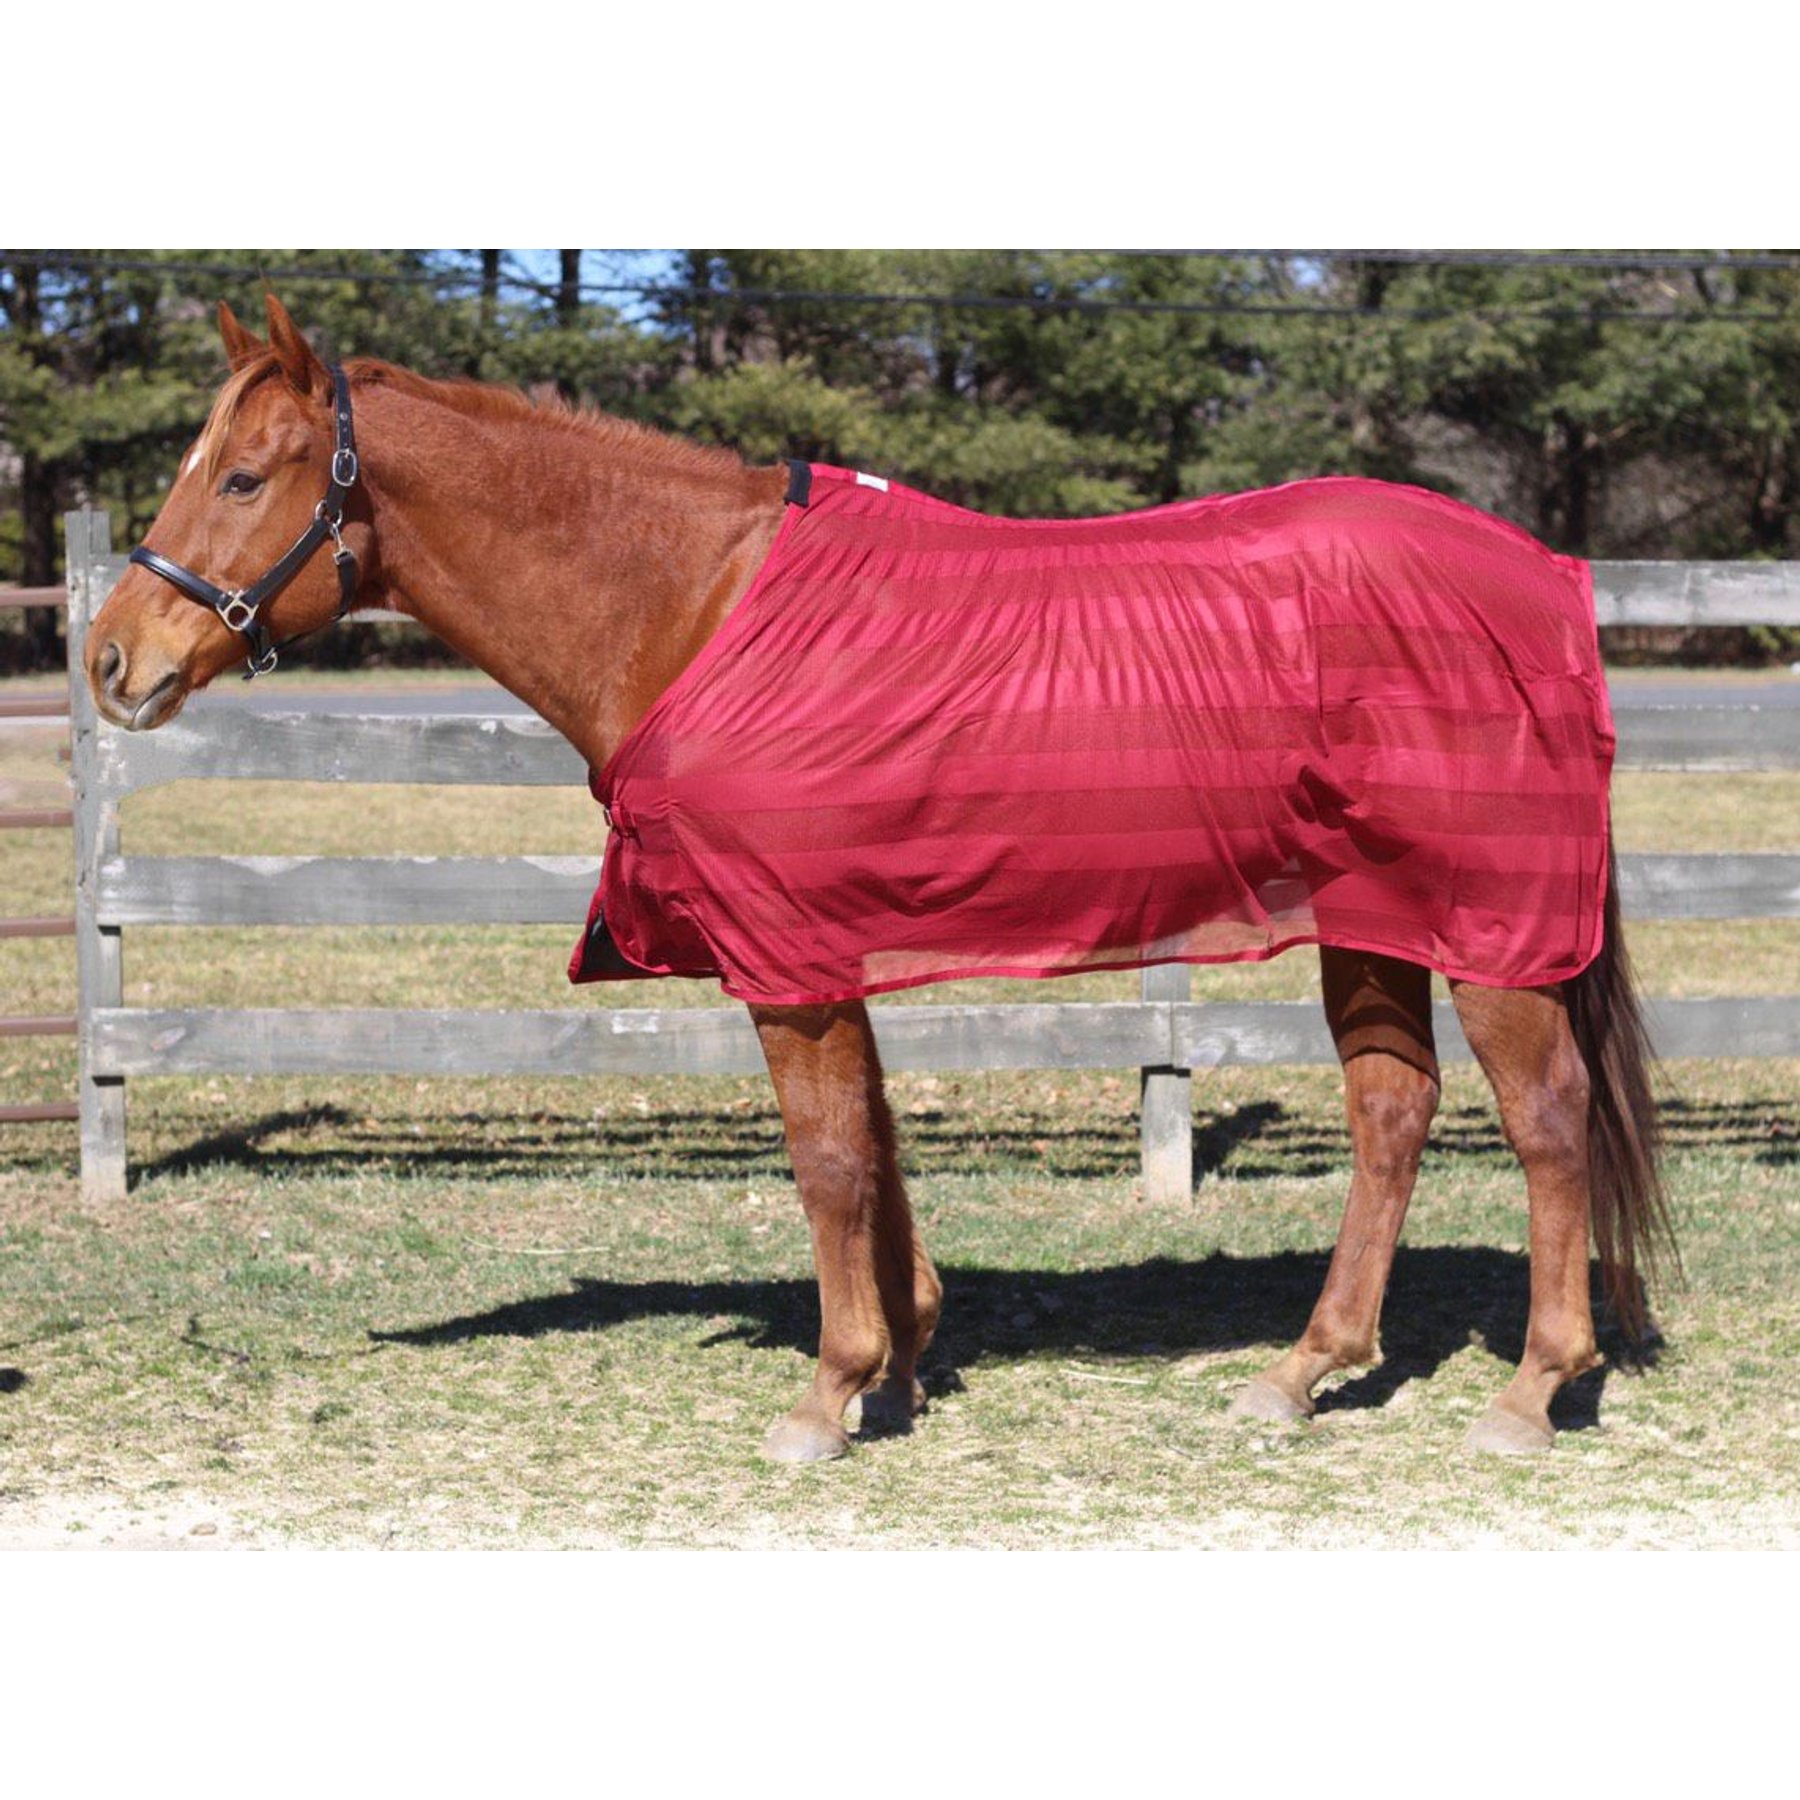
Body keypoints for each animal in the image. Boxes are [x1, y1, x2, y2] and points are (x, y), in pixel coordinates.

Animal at [86, 295, 1671, 1462]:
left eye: (243, 475)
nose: (112, 660)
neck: (692, 603)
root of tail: (1540, 577)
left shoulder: (785, 956)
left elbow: (830, 1157)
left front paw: (826, 1393)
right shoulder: (828, 943)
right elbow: (880, 1142)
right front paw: (900, 1364)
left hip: (1487, 926)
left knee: (1545, 1121)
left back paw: (1533, 1390)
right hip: (1369, 916)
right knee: (1392, 1110)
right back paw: (1303, 1371)